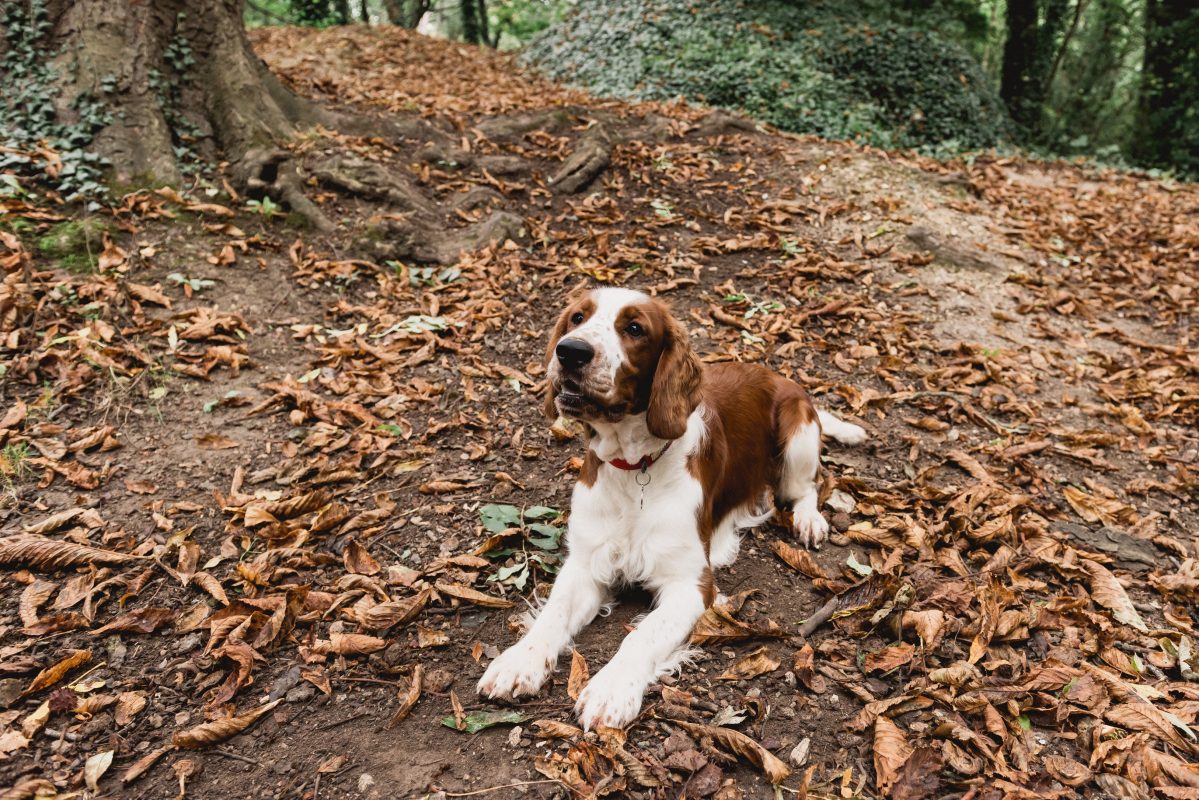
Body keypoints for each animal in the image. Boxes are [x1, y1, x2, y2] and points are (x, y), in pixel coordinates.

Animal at [479, 289, 872, 734]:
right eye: (578, 318)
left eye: (635, 328)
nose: (571, 351)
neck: (634, 468)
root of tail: (782, 378)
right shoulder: (585, 561)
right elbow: (554, 612)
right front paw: (518, 662)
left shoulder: (691, 585)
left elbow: (642, 634)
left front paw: (611, 689)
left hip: (797, 435)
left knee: (808, 486)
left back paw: (809, 519)